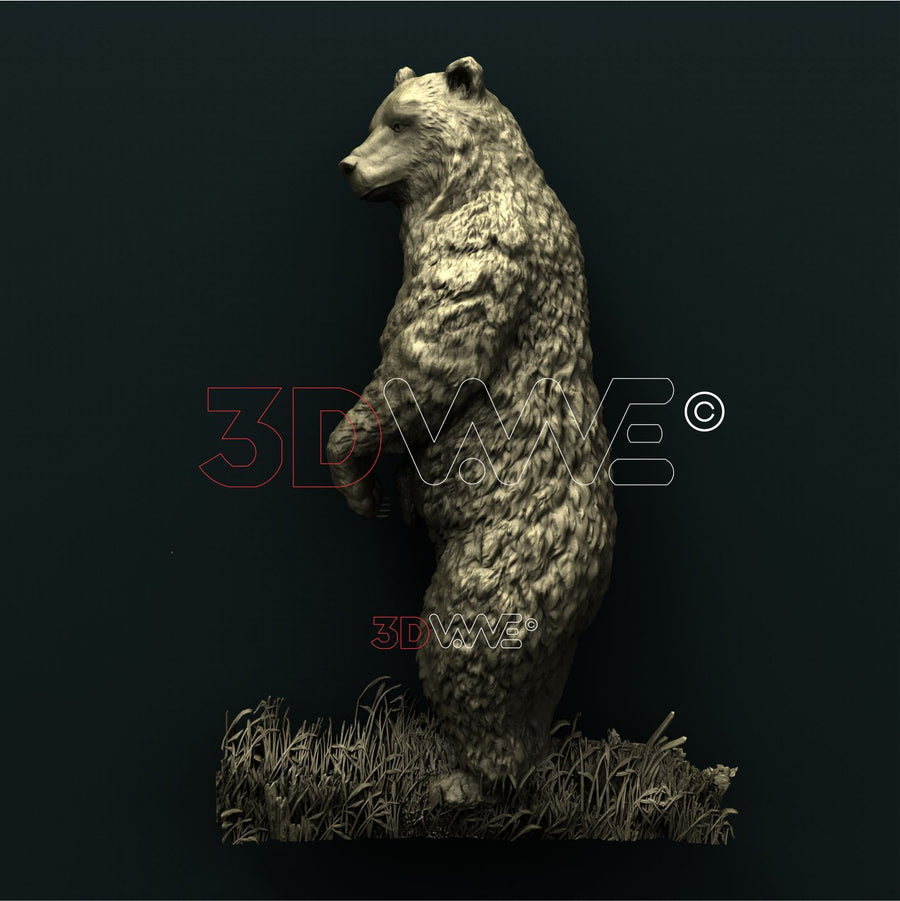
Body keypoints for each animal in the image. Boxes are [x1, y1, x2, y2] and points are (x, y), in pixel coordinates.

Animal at [328, 57, 616, 806]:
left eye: (401, 122)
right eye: (378, 117)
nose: (348, 165)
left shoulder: (481, 251)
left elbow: (428, 358)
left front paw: (353, 466)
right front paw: (390, 492)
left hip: (505, 559)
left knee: (465, 650)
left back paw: (464, 777)